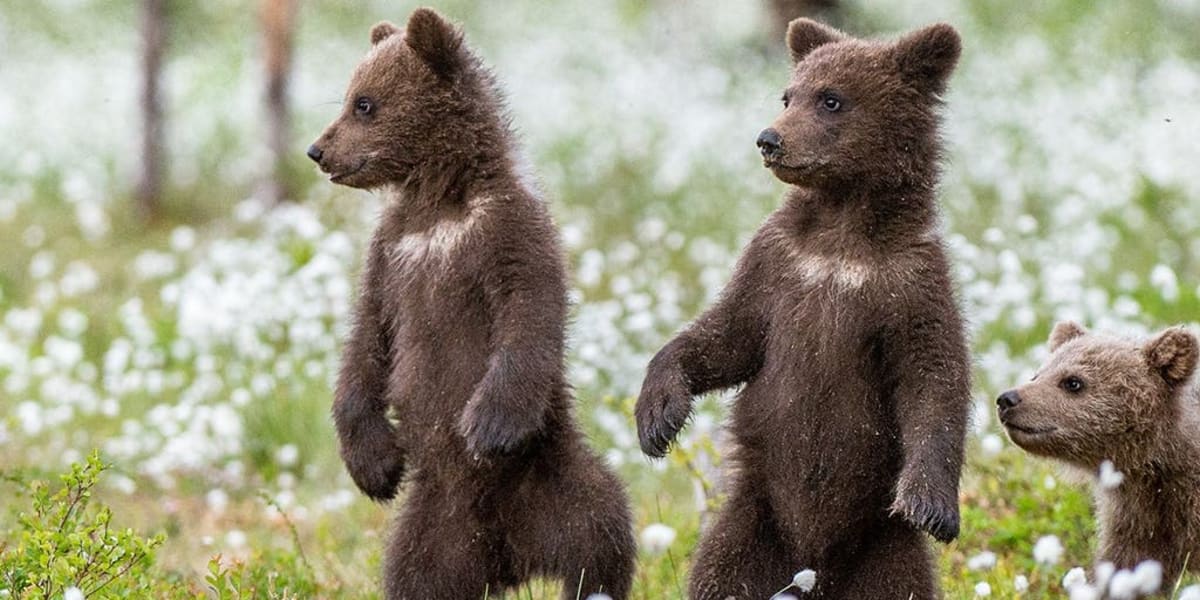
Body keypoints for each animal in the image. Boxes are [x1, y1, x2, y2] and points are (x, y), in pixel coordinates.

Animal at [306, 9, 635, 599]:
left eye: (364, 103)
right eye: (348, 96)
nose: (318, 150)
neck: (441, 202)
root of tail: (511, 558)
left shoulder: (505, 231)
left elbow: (528, 312)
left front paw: (488, 425)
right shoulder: (392, 254)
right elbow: (366, 339)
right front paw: (374, 465)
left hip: (559, 477)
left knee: (601, 532)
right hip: (431, 530)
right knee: (413, 575)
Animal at [634, 18, 971, 599]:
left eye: (831, 99)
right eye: (788, 94)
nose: (769, 139)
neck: (842, 237)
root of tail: (814, 569)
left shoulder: (908, 282)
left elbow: (934, 375)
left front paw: (931, 504)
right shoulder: (779, 265)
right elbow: (729, 336)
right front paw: (658, 414)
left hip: (883, 549)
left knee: (901, 582)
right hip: (752, 520)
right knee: (719, 573)